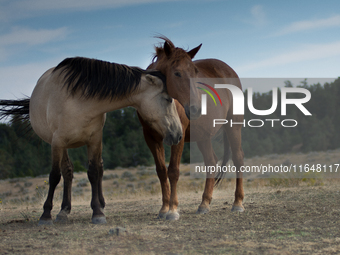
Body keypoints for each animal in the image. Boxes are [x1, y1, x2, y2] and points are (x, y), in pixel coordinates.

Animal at [0, 56, 183, 224]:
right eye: (168, 99)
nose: (179, 134)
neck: (79, 101)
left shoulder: (94, 140)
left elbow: (94, 172)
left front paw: (98, 212)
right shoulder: (57, 142)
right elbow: (55, 176)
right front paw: (46, 214)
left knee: (97, 169)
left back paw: (96, 204)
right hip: (62, 146)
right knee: (67, 172)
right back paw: (63, 210)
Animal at [136, 36, 244, 221]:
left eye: (195, 72)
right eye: (177, 73)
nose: (196, 108)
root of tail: (229, 70)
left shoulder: (177, 137)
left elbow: (173, 171)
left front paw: (173, 210)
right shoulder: (151, 137)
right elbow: (161, 171)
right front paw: (164, 209)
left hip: (233, 126)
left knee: (238, 158)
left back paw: (238, 203)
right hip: (202, 136)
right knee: (211, 162)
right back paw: (204, 204)